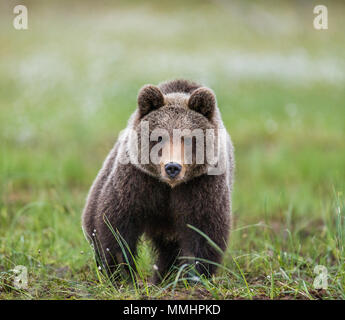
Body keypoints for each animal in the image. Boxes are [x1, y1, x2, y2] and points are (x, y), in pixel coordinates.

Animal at [82, 79, 235, 282]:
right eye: (159, 137)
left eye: (189, 139)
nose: (172, 167)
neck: (169, 187)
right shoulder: (137, 181)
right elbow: (116, 226)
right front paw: (122, 272)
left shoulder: (201, 186)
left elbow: (204, 232)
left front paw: (194, 275)